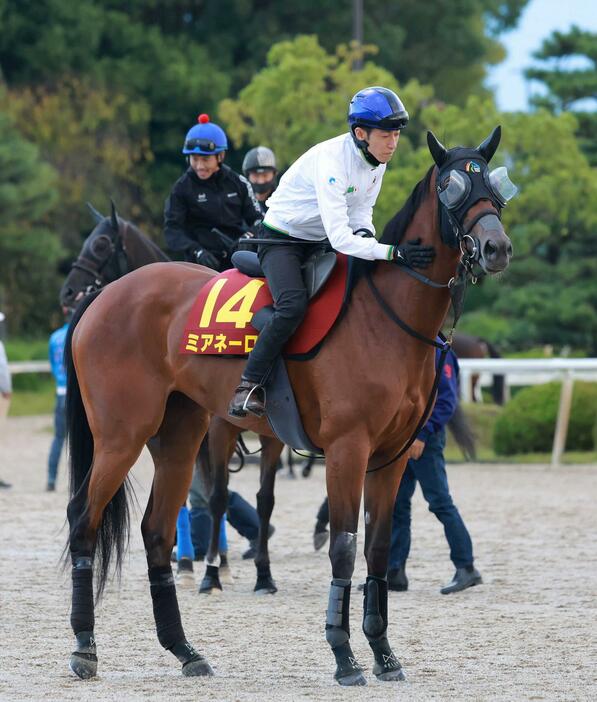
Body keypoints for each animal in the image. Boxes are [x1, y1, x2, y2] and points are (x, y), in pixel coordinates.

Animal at [64, 128, 512, 688]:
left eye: (494, 186)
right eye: (452, 188)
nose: (497, 247)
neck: (387, 317)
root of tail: (105, 295)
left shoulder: (390, 458)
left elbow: (377, 547)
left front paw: (384, 654)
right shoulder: (346, 449)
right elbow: (344, 545)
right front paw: (344, 655)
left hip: (179, 437)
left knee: (157, 532)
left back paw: (185, 650)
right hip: (123, 435)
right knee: (85, 518)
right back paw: (85, 646)